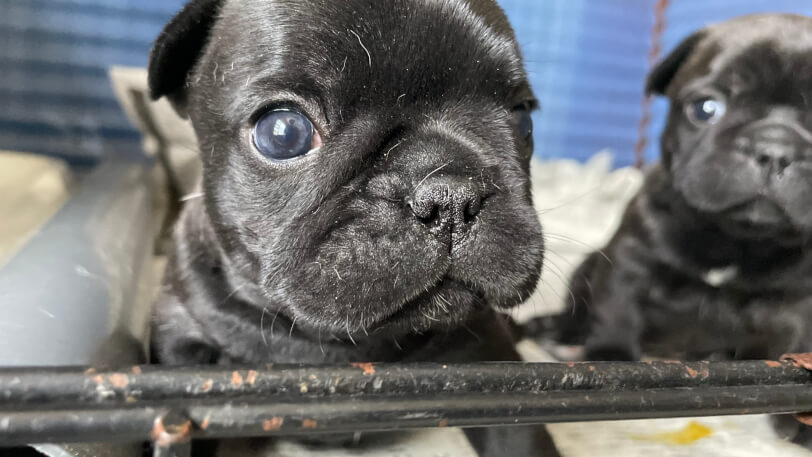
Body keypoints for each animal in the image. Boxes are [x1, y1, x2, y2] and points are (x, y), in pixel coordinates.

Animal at [525, 13, 812, 446]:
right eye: (705, 109)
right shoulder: (631, 261)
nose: (775, 148)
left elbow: (791, 353)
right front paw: (609, 362)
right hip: (587, 267)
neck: (735, 239)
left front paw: (796, 419)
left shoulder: (795, 305)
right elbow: (618, 312)